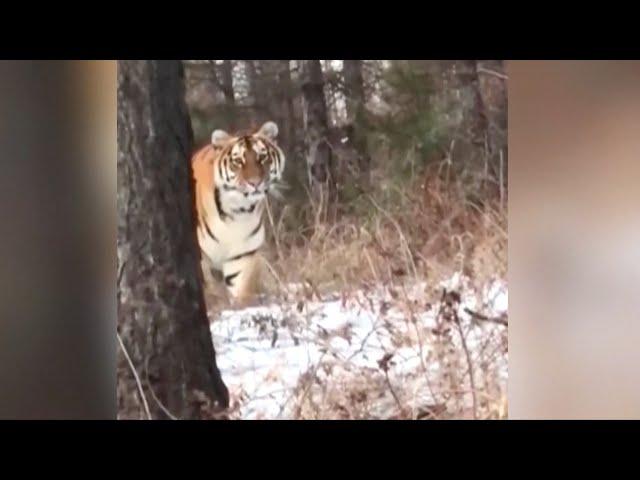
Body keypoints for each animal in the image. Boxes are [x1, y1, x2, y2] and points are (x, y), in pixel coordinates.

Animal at [190, 121, 284, 304]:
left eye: (262, 157)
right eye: (238, 161)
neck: (238, 211)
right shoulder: (200, 257)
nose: (255, 183)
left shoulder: (242, 258)